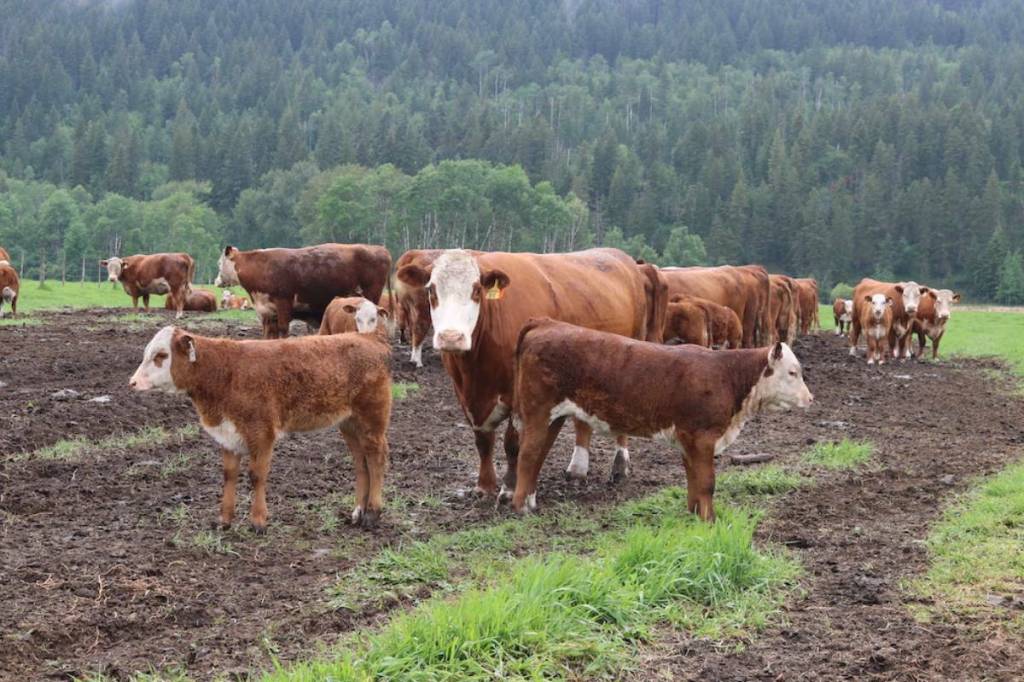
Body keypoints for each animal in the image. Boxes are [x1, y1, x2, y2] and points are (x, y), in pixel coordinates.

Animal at [129, 326, 392, 530]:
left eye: (161, 355)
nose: (132, 382)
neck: (225, 372)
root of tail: (369, 337)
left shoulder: (261, 432)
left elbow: (257, 475)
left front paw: (258, 521)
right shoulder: (228, 434)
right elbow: (229, 475)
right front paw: (224, 520)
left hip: (372, 420)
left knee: (376, 459)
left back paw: (372, 513)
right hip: (349, 424)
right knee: (361, 463)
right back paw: (358, 512)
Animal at [214, 244, 392, 339]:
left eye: (219, 263)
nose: (216, 281)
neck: (262, 267)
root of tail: (379, 249)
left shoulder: (283, 303)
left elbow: (283, 329)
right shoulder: (267, 310)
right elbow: (268, 333)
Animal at [396, 248, 664, 497]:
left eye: (476, 290)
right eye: (431, 290)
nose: (451, 337)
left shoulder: (519, 394)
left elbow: (513, 443)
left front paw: (509, 488)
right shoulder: (465, 394)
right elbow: (483, 441)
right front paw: (484, 486)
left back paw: (619, 465)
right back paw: (578, 468)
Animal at [511, 319, 813, 520]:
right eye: (792, 372)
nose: (810, 399)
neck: (726, 375)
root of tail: (546, 323)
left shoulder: (688, 439)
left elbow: (693, 480)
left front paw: (694, 514)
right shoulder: (702, 436)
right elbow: (707, 482)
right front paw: (710, 521)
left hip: (554, 416)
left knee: (538, 455)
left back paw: (532, 501)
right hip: (538, 411)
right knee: (528, 455)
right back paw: (521, 507)